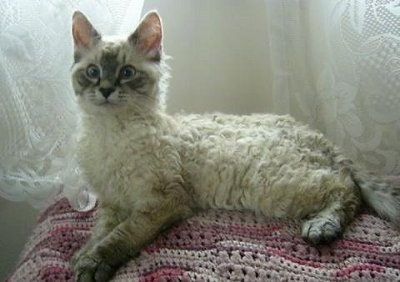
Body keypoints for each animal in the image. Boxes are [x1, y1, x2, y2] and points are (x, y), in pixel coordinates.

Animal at [70, 9, 400, 282]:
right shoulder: (113, 203)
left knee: (348, 189)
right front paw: (81, 256)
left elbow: (120, 236)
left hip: (275, 184)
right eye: (93, 72)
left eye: (126, 73)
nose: (106, 90)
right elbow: (99, 233)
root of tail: (318, 136)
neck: (111, 133)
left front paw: (93, 264)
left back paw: (322, 228)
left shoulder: (161, 202)